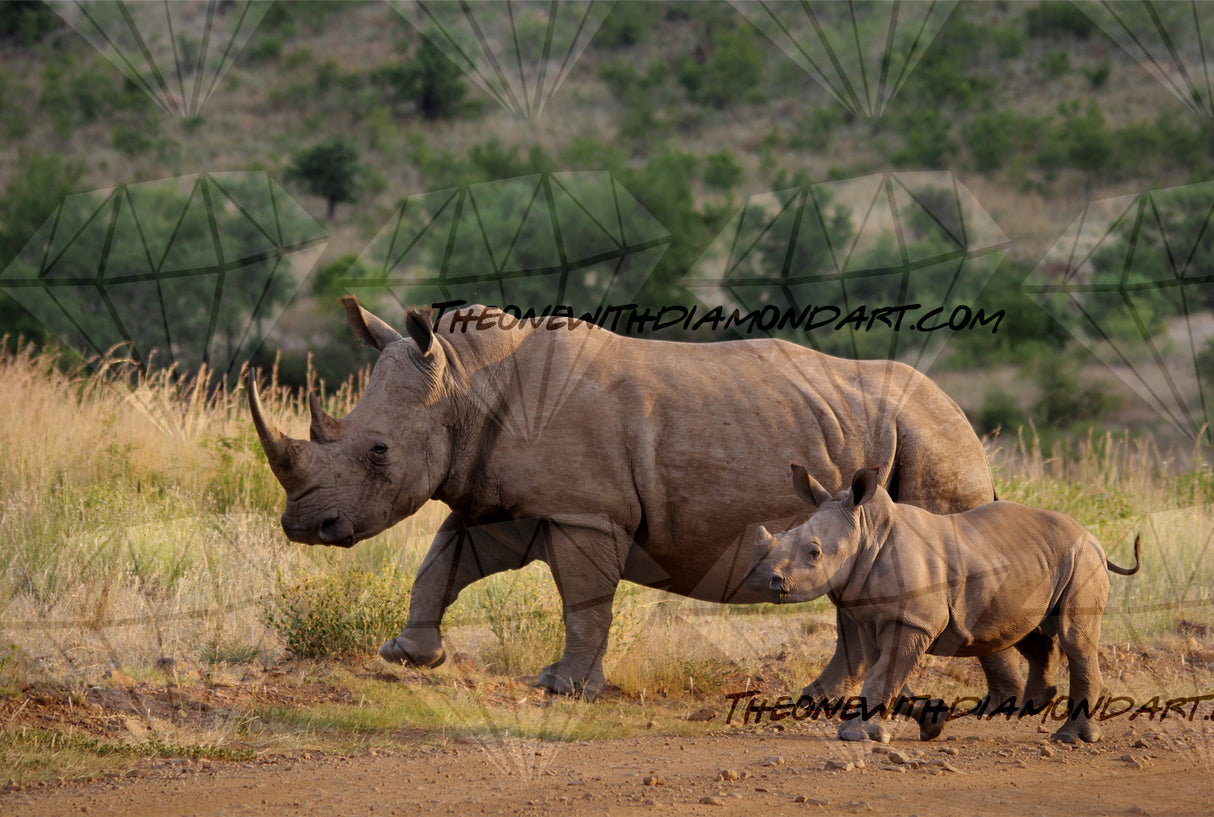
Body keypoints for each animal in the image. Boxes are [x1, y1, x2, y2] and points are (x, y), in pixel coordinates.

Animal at [248, 297, 1012, 701]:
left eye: (377, 451)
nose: (303, 524)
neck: (464, 382)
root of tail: (962, 415)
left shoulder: (585, 510)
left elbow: (583, 598)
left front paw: (563, 688)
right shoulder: (509, 497)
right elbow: (444, 559)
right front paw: (407, 655)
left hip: (933, 439)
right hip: (894, 440)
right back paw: (819, 700)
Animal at [750, 465, 1141, 743]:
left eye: (814, 553)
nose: (767, 581)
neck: (866, 531)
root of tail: (1093, 537)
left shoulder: (914, 619)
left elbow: (884, 672)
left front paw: (855, 735)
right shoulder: (869, 614)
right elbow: (884, 671)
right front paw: (931, 721)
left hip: (1082, 559)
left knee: (1075, 636)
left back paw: (1070, 738)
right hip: (1035, 560)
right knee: (1024, 627)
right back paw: (1031, 706)